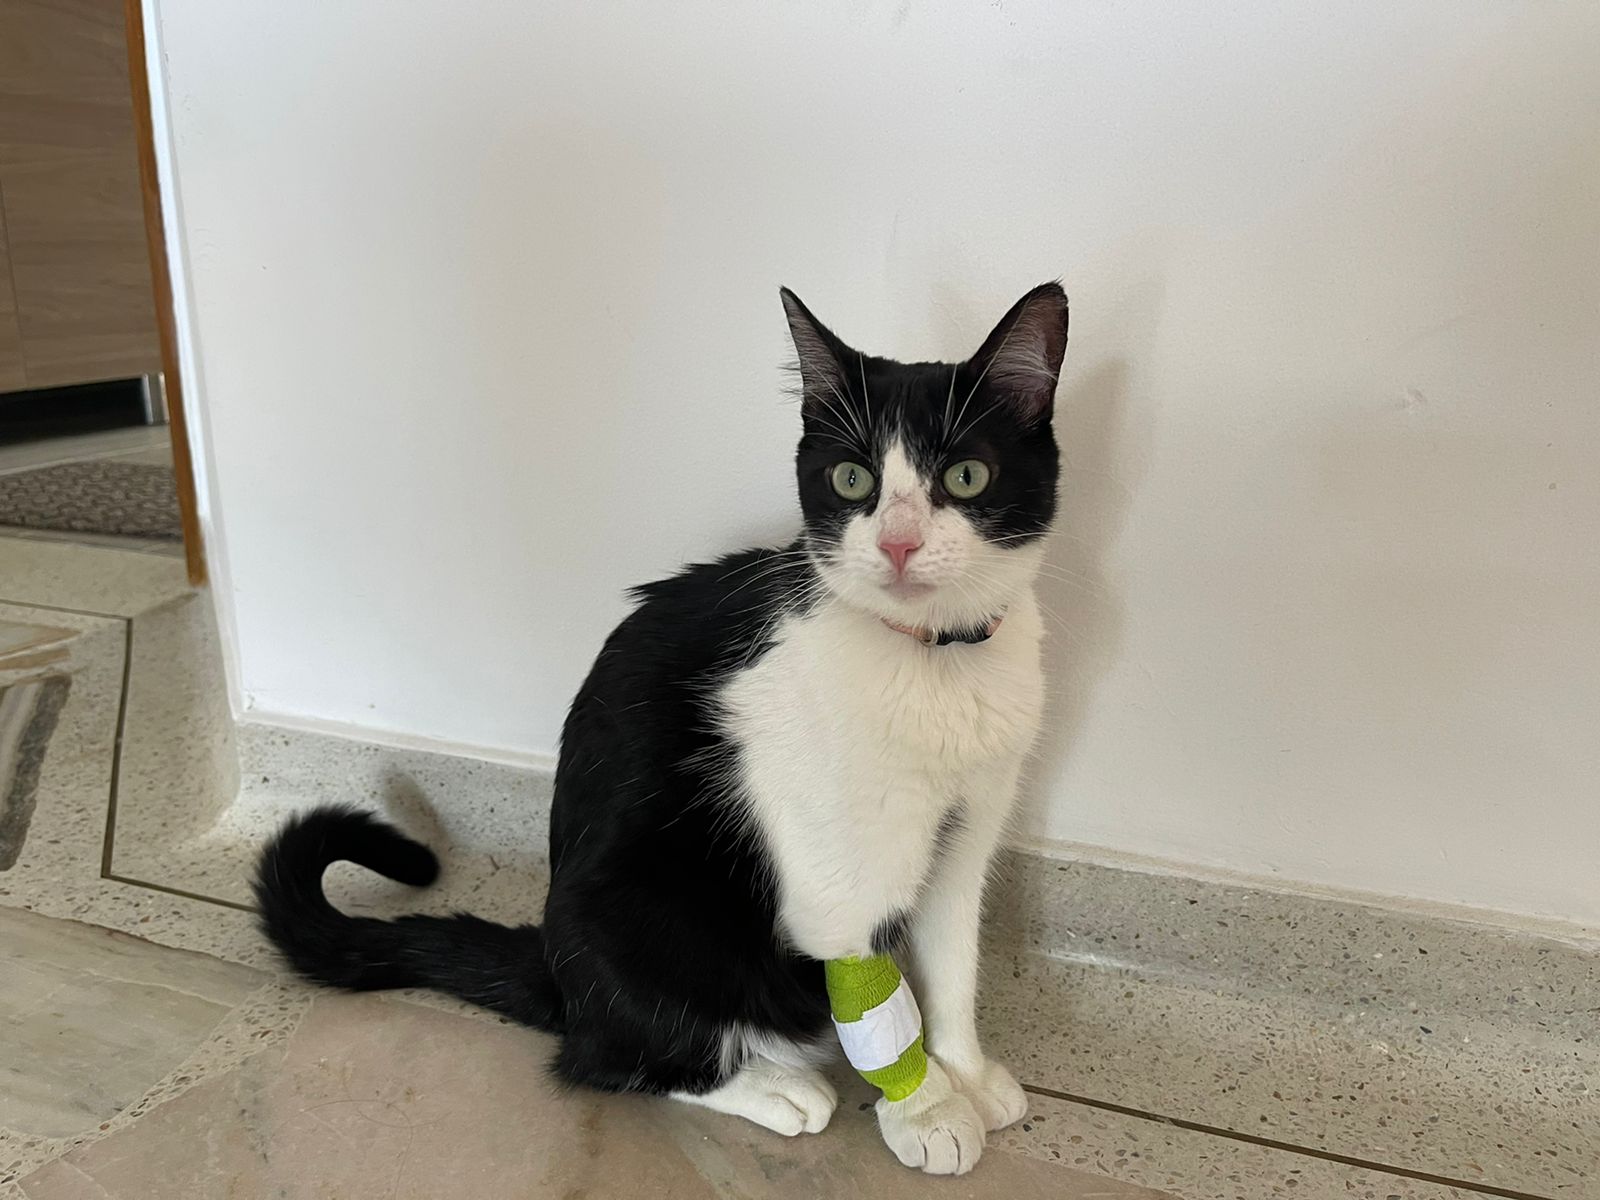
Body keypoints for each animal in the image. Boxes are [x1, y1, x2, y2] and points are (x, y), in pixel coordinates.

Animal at [254, 281, 1067, 1175]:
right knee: (604, 1055)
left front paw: (967, 1072)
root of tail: (556, 968)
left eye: (966, 475)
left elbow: (953, 963)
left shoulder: (970, 826)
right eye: (852, 479)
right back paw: (774, 1086)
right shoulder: (832, 875)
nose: (896, 543)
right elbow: (879, 1004)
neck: (934, 661)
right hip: (637, 917)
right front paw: (923, 1109)